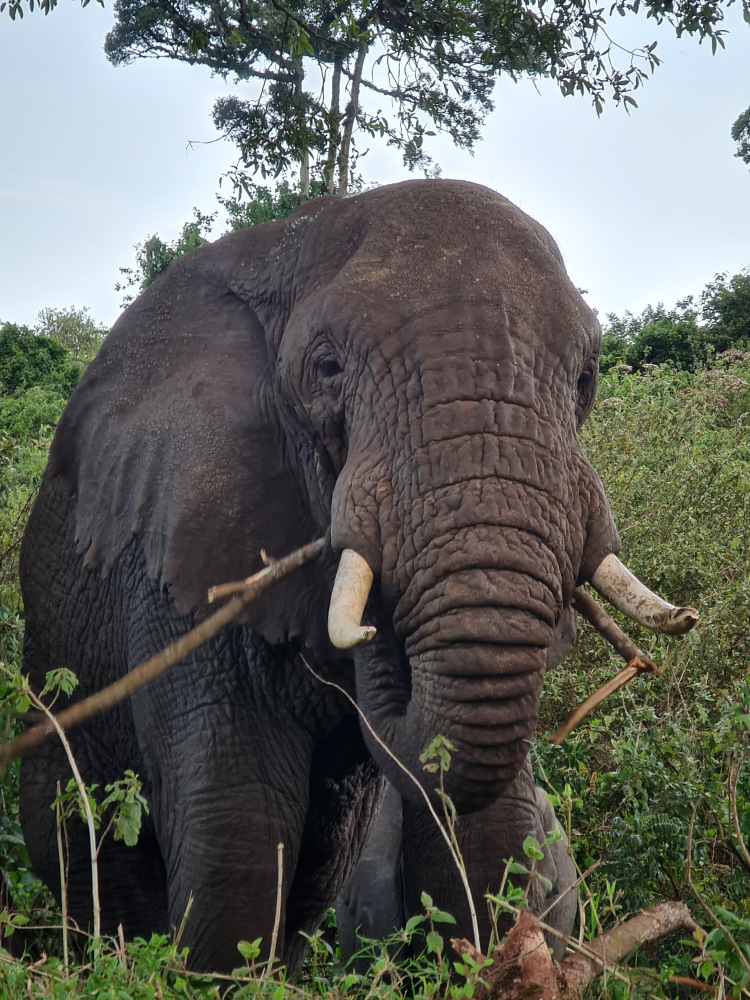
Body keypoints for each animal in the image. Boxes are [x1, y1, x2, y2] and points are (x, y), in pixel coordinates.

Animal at [18, 179, 696, 977]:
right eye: (327, 369)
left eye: (587, 379)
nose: (379, 627)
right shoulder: (174, 543)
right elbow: (239, 818)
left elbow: (484, 827)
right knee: (91, 849)